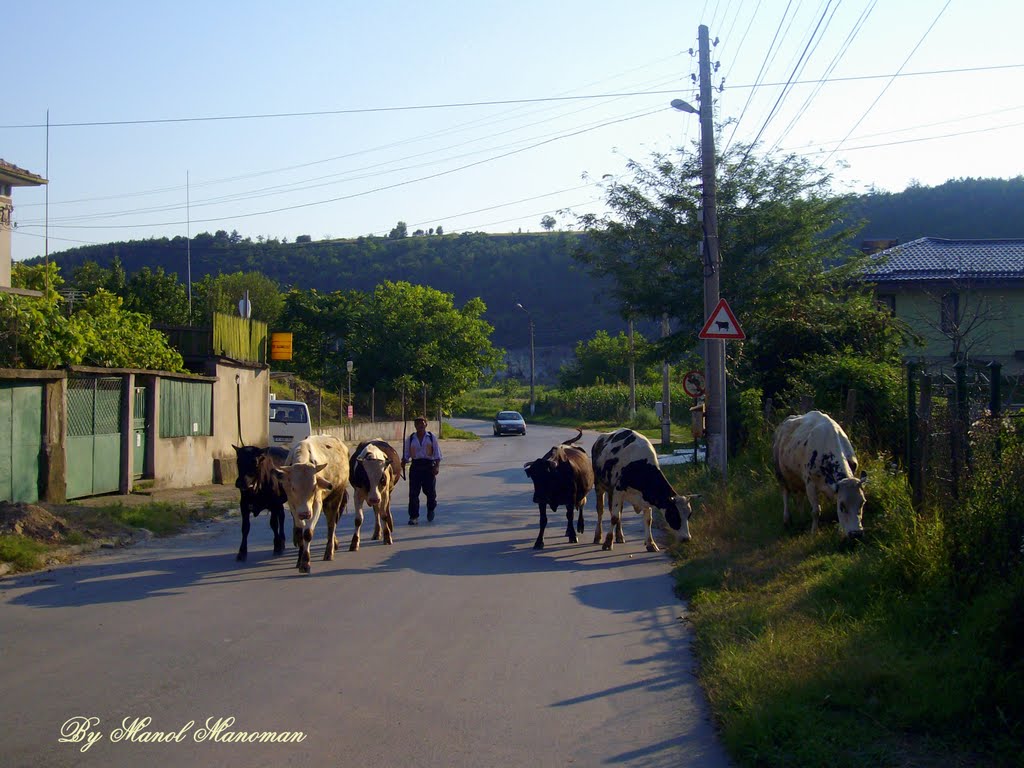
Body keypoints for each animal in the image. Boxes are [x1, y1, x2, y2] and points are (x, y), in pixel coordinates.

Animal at [274, 436, 350, 573]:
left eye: (314, 488)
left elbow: (308, 532)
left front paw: (305, 563)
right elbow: (300, 532)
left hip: (336, 496)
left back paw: (329, 552)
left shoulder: (316, 504)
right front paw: (299, 560)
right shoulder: (293, 504)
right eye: (293, 488)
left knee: (332, 524)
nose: (305, 513)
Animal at [770, 409, 868, 540]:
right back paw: (786, 520)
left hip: (799, 479)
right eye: (842, 506)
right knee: (785, 493)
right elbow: (816, 511)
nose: (856, 533)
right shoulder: (810, 483)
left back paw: (802, 518)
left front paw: (839, 529)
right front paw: (814, 532)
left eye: (862, 502)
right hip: (780, 474)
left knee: (799, 498)